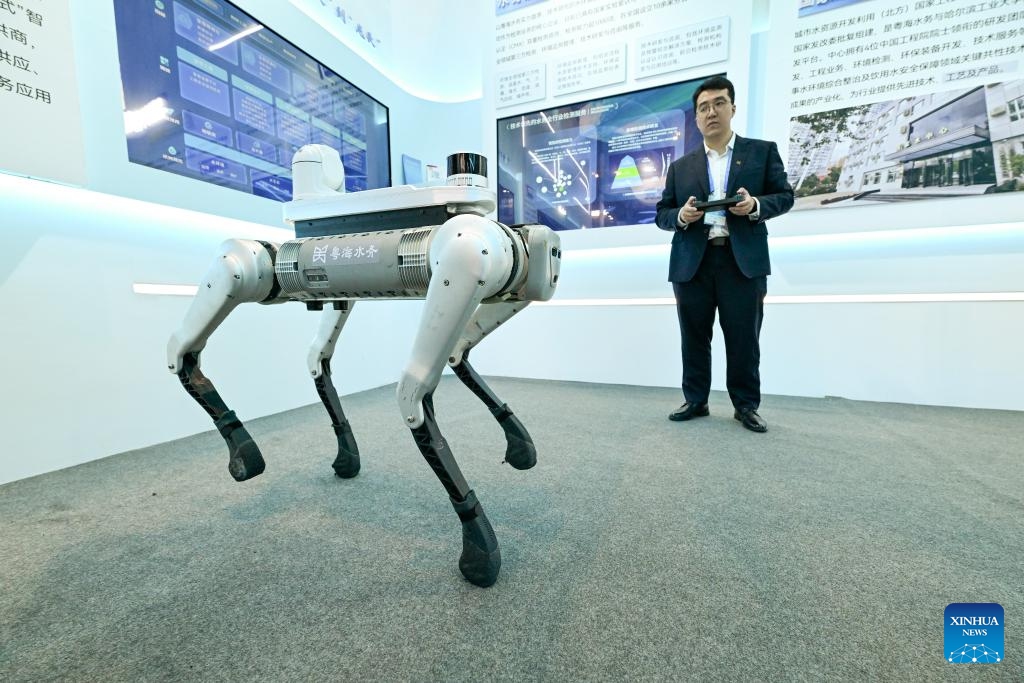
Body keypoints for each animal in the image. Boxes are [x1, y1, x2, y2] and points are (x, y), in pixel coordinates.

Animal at [166, 147, 561, 585]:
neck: (514, 247)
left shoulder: (465, 263)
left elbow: (413, 395)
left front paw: (478, 541)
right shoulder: (466, 259)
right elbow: (405, 395)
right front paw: (479, 544)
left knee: (419, 366)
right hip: (257, 270)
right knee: (195, 334)